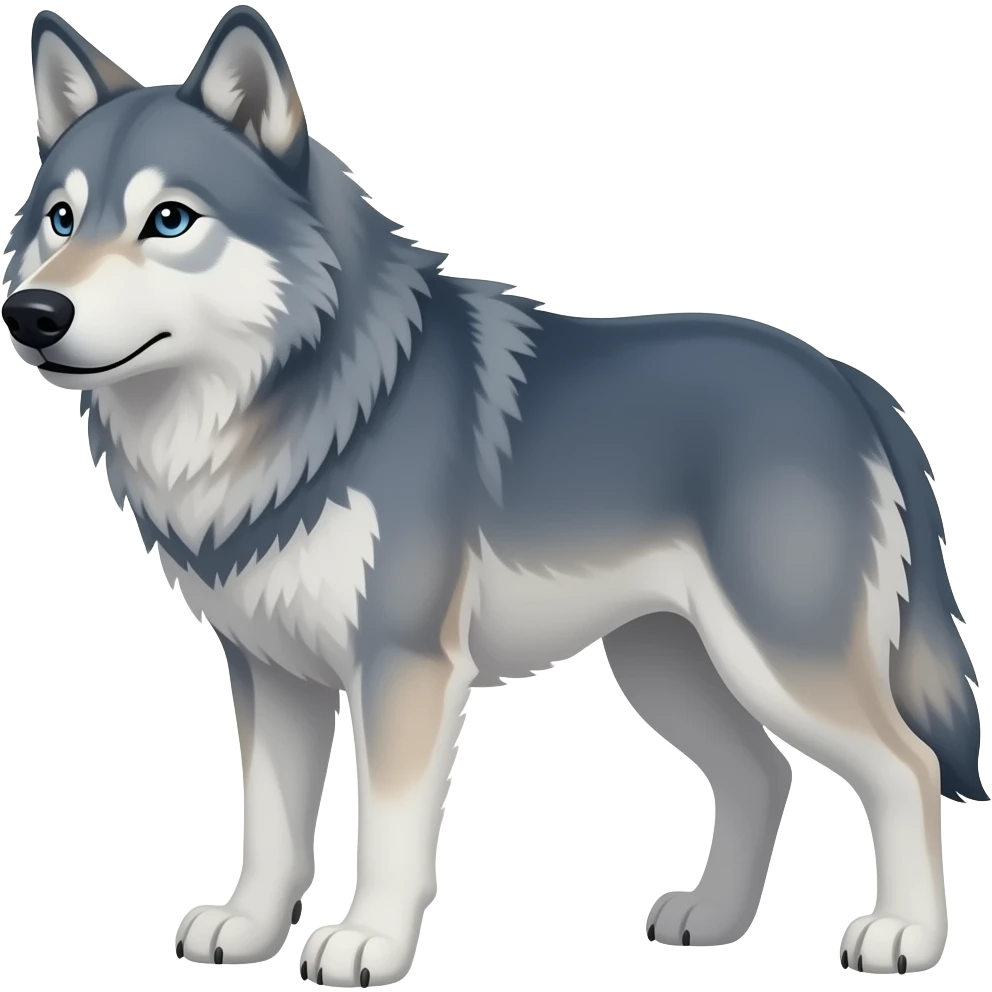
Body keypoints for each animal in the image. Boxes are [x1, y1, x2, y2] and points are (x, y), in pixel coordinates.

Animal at [2, 5, 985, 986]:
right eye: (60, 218)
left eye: (168, 220)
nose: (33, 315)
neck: (290, 408)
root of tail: (848, 381)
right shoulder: (271, 671)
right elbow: (271, 825)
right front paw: (246, 931)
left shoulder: (403, 665)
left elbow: (387, 826)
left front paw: (368, 942)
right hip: (669, 667)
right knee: (764, 773)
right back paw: (712, 919)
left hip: (778, 661)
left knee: (907, 767)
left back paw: (903, 934)